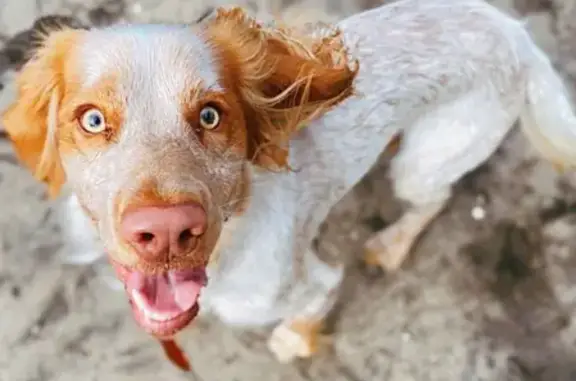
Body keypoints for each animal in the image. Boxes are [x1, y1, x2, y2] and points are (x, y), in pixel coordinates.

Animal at [1, 0, 576, 362]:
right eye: (92, 120)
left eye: (211, 116)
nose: (165, 233)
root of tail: (513, 30)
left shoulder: (312, 282)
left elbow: (314, 306)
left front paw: (294, 341)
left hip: (427, 162)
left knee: (436, 196)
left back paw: (391, 244)